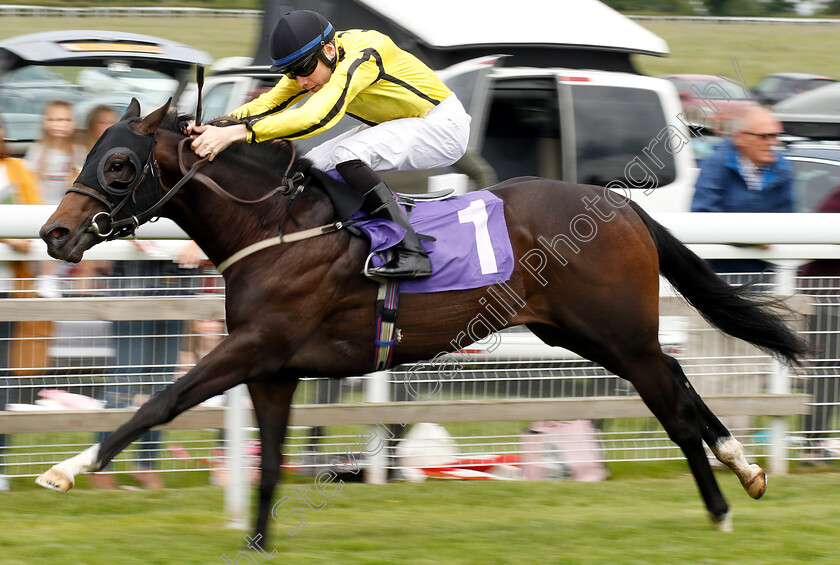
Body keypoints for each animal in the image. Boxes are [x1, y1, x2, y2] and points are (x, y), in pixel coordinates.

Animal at [34, 101, 808, 548]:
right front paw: (257, 541)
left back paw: (722, 505)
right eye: (88, 151)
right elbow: (271, 462)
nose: (53, 233)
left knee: (671, 405)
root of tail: (621, 206)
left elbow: (160, 402)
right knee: (677, 378)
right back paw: (746, 469)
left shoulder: (253, 346)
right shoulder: (274, 368)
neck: (274, 227)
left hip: (617, 333)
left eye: (119, 162)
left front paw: (66, 469)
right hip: (587, 334)